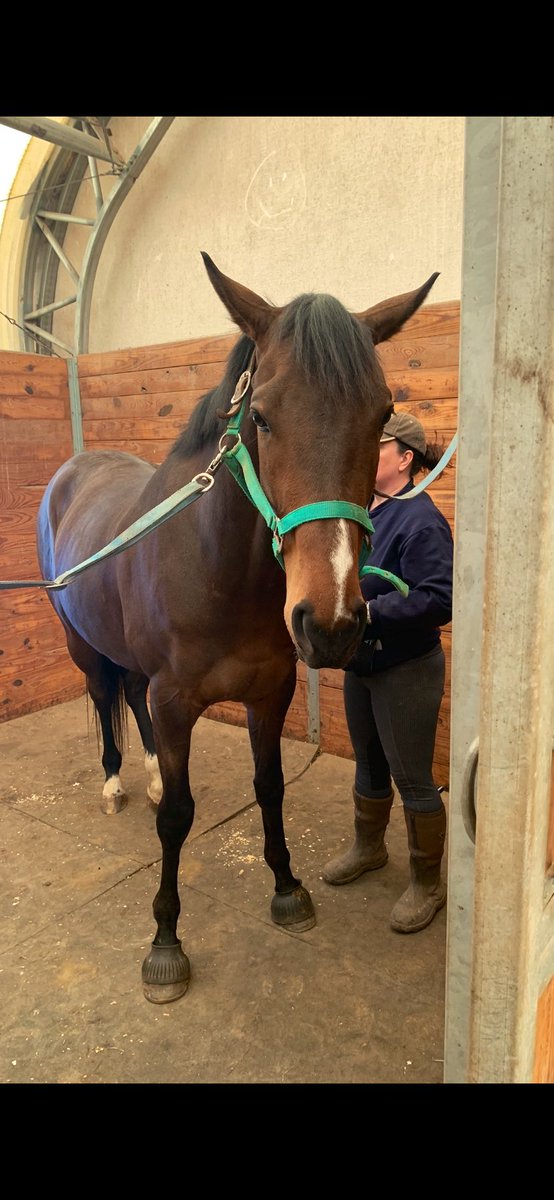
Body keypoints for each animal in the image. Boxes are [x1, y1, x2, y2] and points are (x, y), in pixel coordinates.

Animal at [36, 255, 438, 1003]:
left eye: (381, 415)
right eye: (261, 417)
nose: (330, 622)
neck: (215, 569)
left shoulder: (269, 692)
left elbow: (269, 787)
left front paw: (287, 890)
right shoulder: (174, 701)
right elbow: (177, 819)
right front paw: (165, 944)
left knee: (127, 697)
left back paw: (147, 776)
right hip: (85, 647)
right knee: (107, 699)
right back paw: (114, 785)